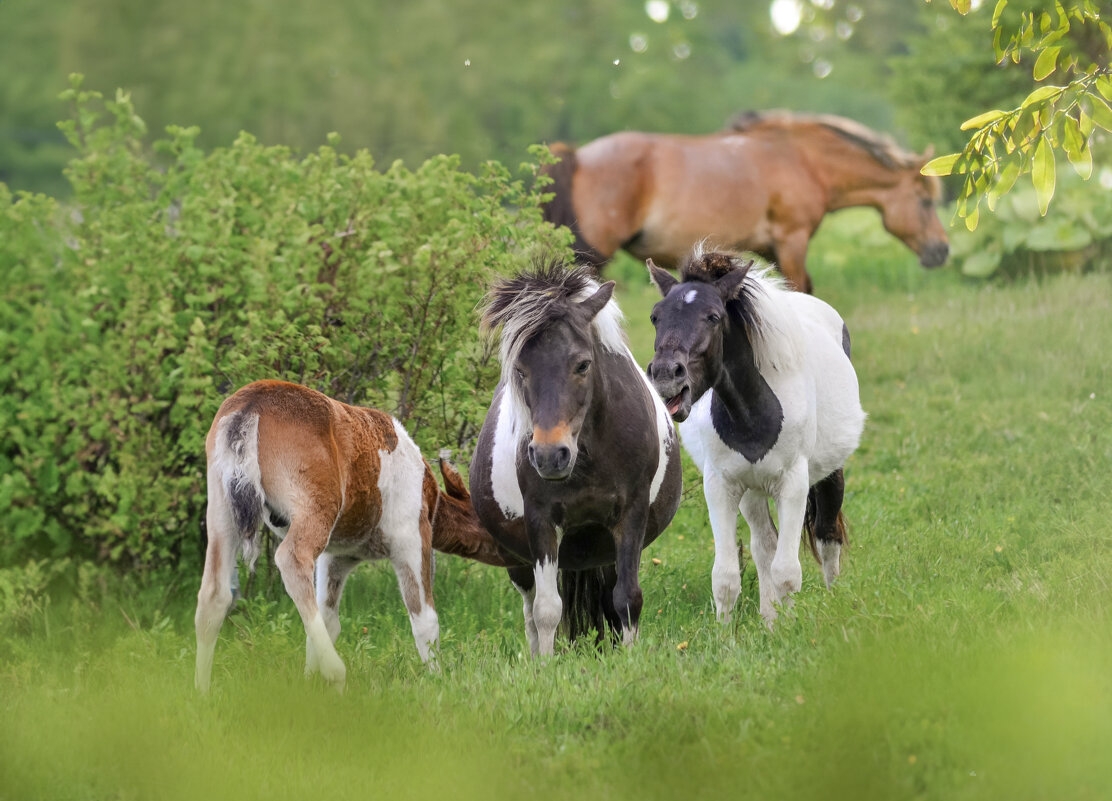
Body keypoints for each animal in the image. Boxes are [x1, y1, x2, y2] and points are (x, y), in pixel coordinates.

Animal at [194, 380, 504, 689]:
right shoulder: (411, 537)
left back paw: (202, 691)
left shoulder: (337, 556)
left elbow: (328, 618)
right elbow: (424, 617)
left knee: (214, 594)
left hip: (221, 506)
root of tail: (249, 408)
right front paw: (438, 680)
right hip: (316, 506)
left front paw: (308, 683)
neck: (433, 501)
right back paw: (336, 671)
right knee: (291, 558)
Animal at [467, 259, 676, 654]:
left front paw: (629, 658)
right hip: (517, 558)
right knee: (530, 605)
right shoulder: (541, 520)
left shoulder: (632, 513)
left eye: (582, 365)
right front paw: (546, 665)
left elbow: (627, 598)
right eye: (520, 370)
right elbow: (547, 610)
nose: (550, 455)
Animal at [542, 108, 951, 291]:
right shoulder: (792, 241)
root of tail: (578, 156)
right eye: (925, 202)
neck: (803, 159)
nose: (942, 250)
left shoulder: (771, 249)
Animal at [644, 251, 867, 627]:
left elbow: (788, 570)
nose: (665, 376)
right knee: (765, 546)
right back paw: (768, 617)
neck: (752, 414)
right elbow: (727, 576)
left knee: (827, 536)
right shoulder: (721, 486)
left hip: (828, 473)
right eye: (655, 316)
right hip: (752, 492)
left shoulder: (793, 484)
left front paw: (791, 628)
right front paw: (729, 633)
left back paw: (829, 598)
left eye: (713, 316)